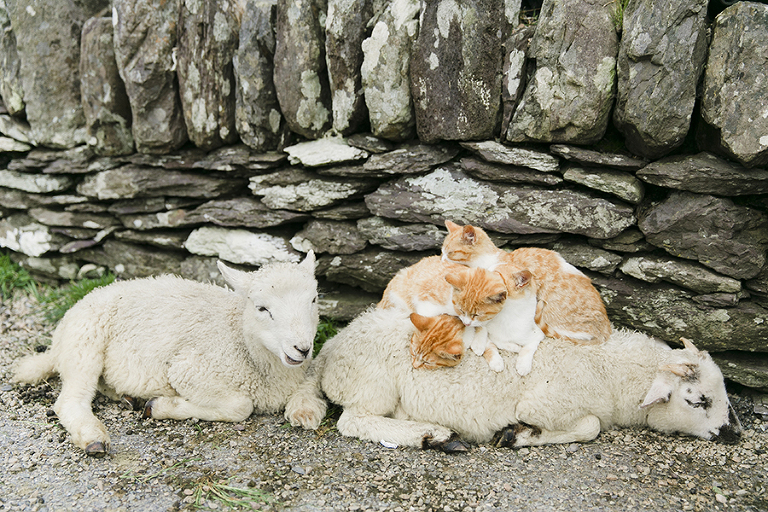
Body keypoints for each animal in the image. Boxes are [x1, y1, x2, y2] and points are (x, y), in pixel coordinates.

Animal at [13, 252, 319, 456]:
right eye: (261, 308)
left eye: (314, 299)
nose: (302, 348)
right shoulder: (188, 370)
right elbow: (240, 407)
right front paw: (161, 407)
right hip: (85, 340)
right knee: (70, 400)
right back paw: (93, 436)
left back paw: (126, 397)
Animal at [285, 307, 741, 449]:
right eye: (697, 399)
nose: (733, 433)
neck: (612, 373)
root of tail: (332, 346)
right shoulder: (548, 403)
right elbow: (591, 427)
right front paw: (518, 434)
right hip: (373, 385)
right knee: (354, 421)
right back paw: (433, 434)